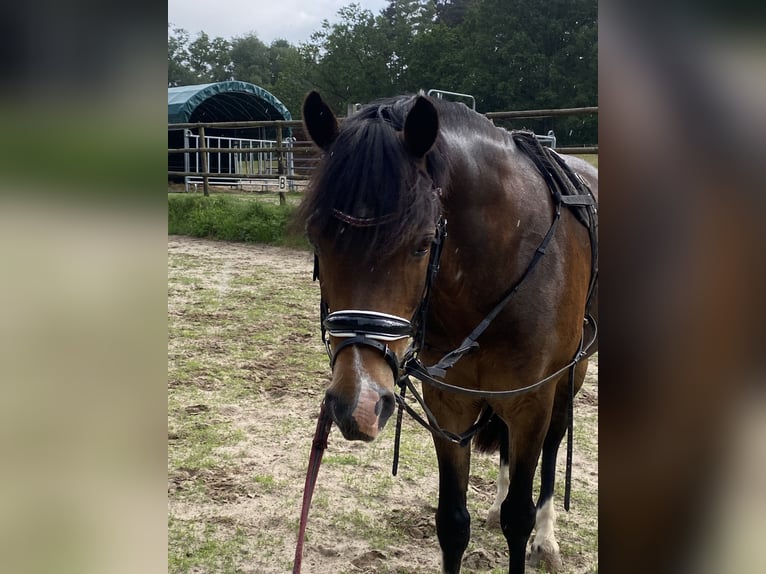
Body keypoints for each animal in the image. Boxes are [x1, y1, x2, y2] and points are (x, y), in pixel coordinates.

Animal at [297, 91, 598, 574]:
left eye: (422, 243)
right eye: (316, 239)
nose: (360, 404)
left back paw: (547, 539)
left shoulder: (532, 401)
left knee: (554, 445)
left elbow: (519, 517)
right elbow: (453, 523)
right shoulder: (449, 403)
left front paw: (530, 530)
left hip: (574, 372)